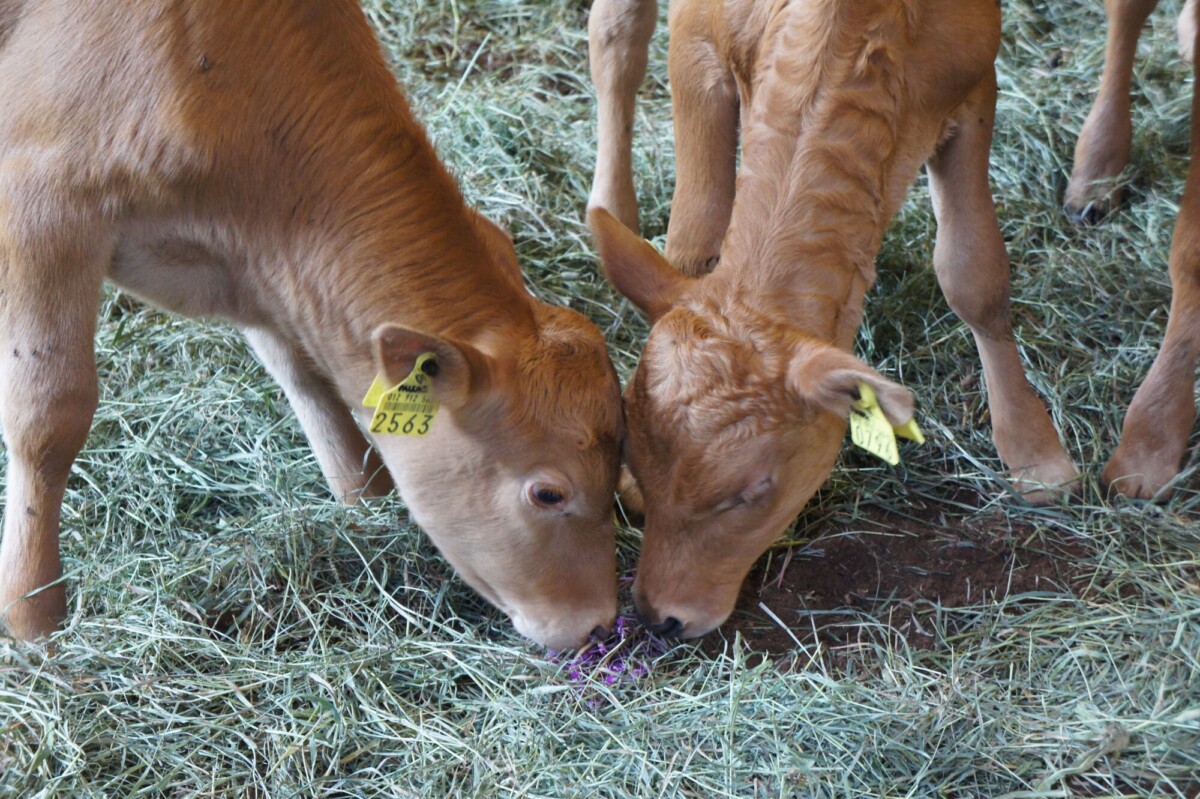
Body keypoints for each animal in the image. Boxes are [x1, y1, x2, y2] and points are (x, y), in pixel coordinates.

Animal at [0, 0, 619, 647]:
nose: (600, 624)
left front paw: (363, 500)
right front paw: (32, 610)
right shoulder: (42, 202)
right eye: (548, 492)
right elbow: (48, 414)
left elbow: (302, 372)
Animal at [588, 0, 1080, 633]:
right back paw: (609, 205)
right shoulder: (696, 40)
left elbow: (975, 277)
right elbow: (693, 240)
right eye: (636, 460)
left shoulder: (973, 79)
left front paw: (1034, 452)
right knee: (614, 33)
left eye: (754, 490)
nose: (658, 616)